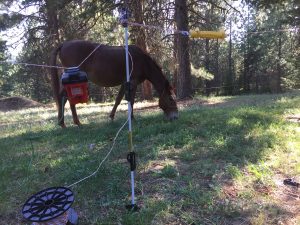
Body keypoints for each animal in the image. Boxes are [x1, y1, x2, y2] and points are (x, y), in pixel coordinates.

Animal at [50, 39, 178, 127]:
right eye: (171, 99)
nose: (176, 117)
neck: (143, 62)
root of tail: (64, 44)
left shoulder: (125, 83)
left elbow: (118, 99)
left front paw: (112, 117)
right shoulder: (133, 82)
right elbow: (131, 101)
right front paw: (132, 118)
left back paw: (71, 122)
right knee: (64, 97)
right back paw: (67, 123)